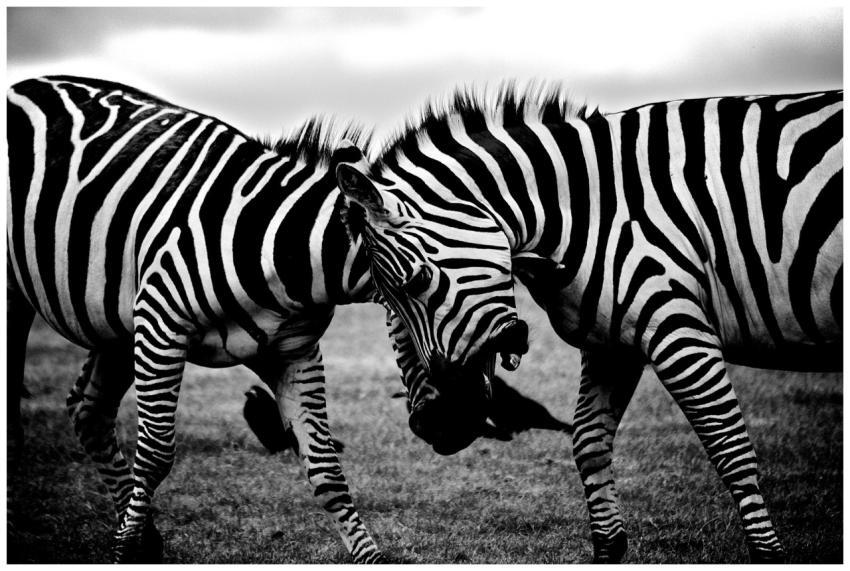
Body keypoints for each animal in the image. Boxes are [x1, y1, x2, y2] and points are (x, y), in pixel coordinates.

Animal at [6, 74, 432, 563]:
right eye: (421, 284)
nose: (452, 426)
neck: (281, 246)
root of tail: (26, 84)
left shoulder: (290, 351)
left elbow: (324, 465)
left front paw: (369, 555)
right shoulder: (159, 325)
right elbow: (155, 453)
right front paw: (124, 551)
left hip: (117, 324)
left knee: (88, 412)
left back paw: (144, 536)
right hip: (31, 298)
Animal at [331, 84, 843, 562]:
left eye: (417, 281)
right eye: (383, 302)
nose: (436, 426)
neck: (592, 211)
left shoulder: (678, 328)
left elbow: (730, 448)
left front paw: (768, 555)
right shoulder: (611, 343)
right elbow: (588, 442)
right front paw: (608, 547)